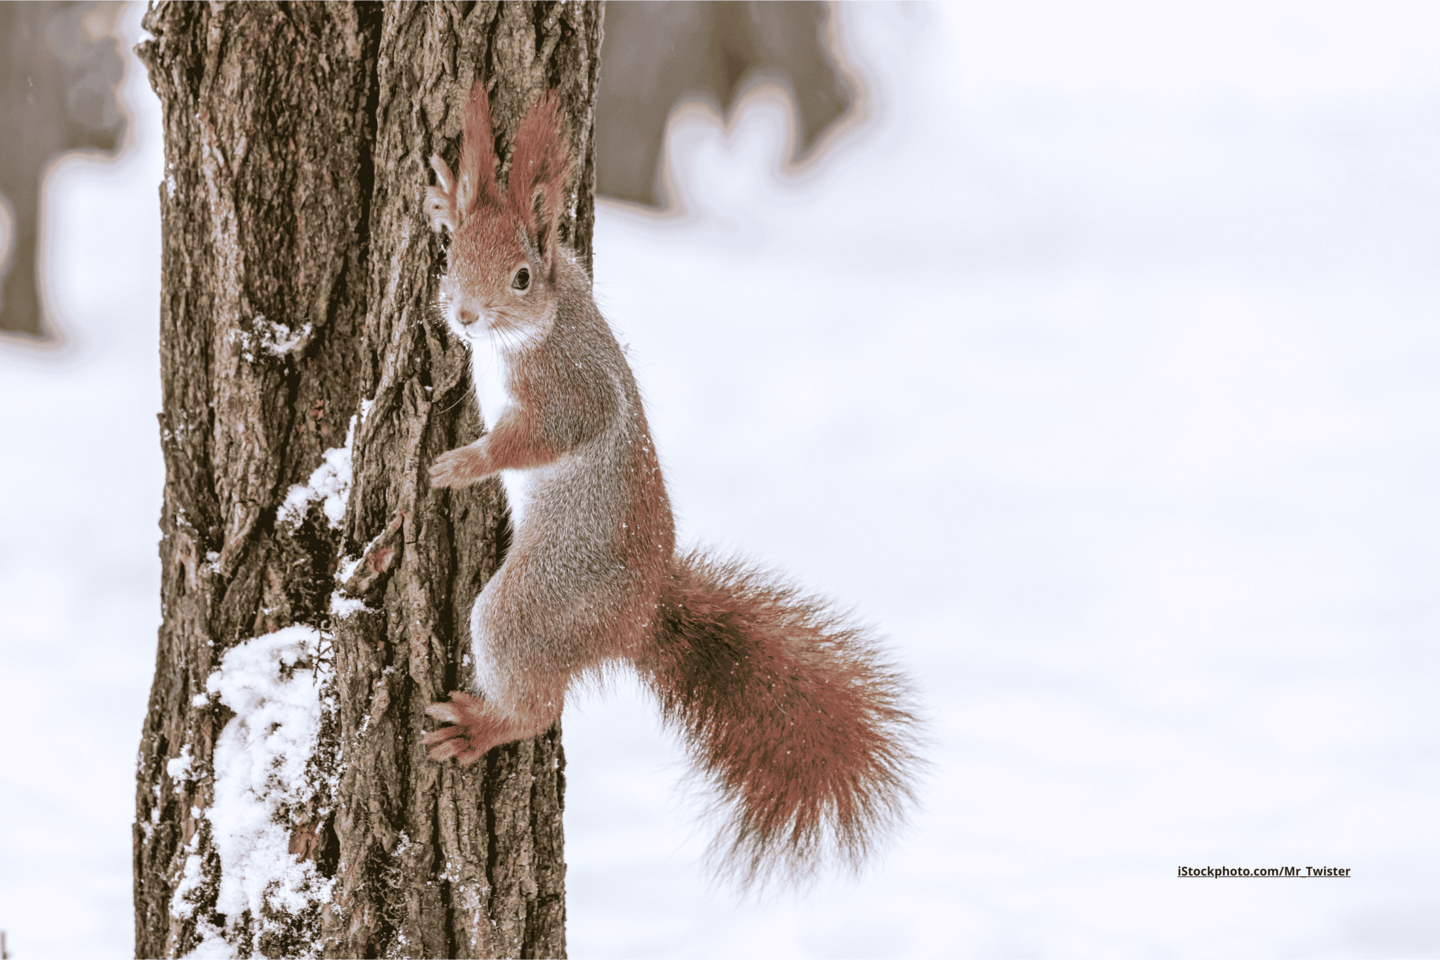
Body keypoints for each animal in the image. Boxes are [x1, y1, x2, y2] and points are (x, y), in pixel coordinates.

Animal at [420, 82, 920, 884]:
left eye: (521, 278)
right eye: (452, 257)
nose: (465, 317)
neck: (544, 321)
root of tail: (641, 618)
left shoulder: (572, 391)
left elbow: (545, 437)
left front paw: (464, 463)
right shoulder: (576, 271)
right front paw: (448, 192)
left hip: (540, 603)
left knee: (536, 702)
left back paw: (481, 726)